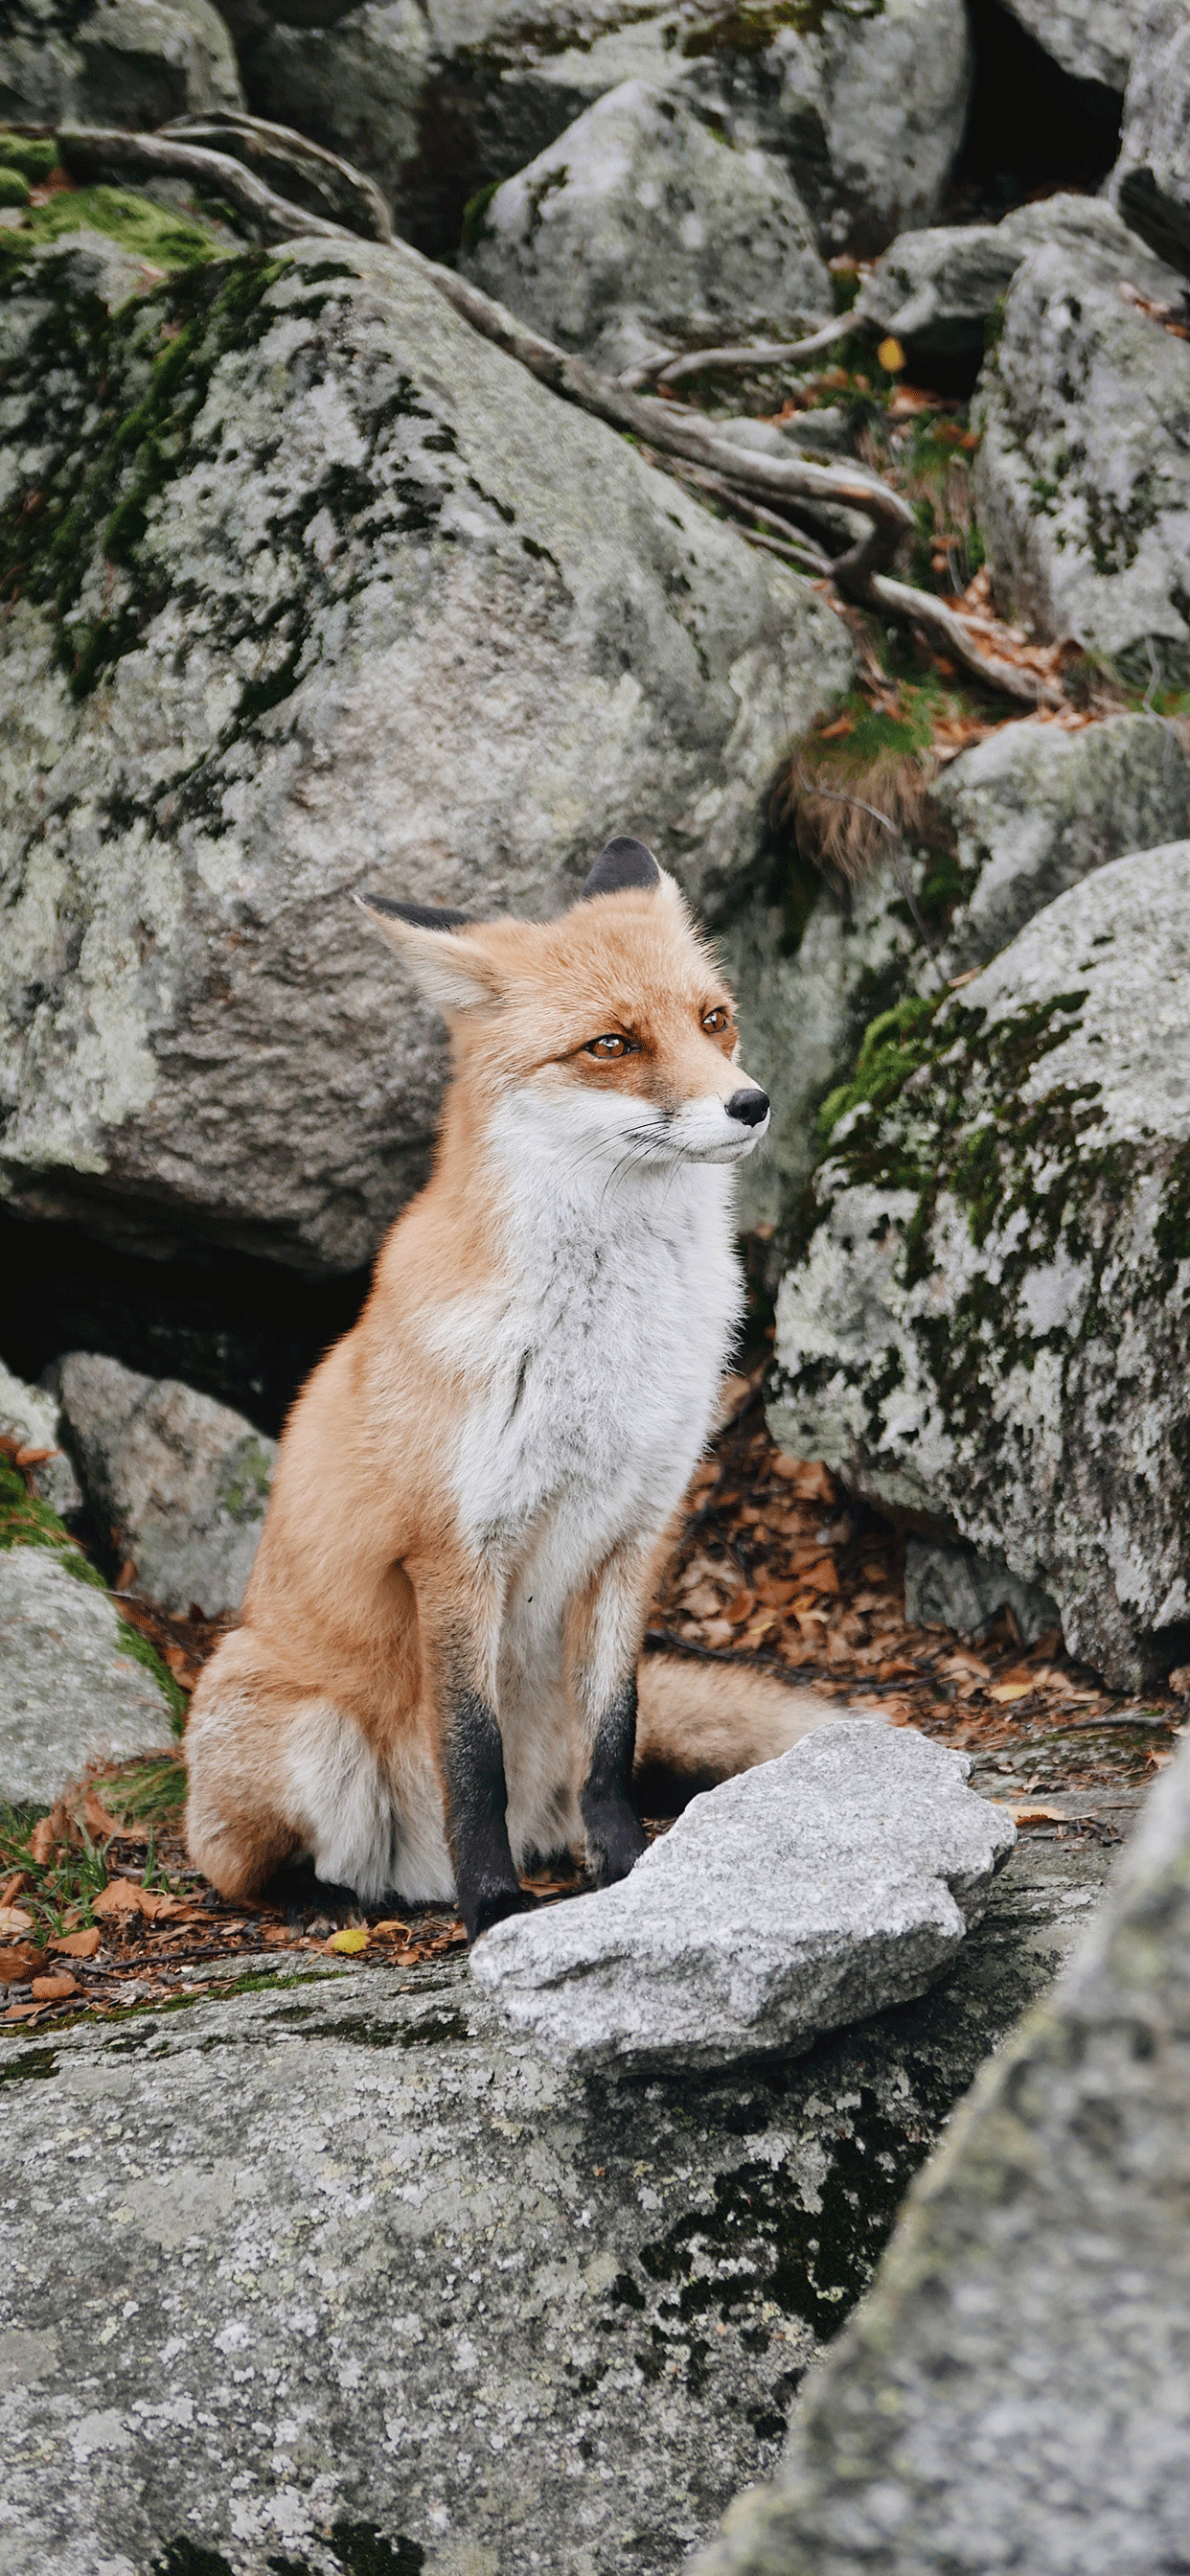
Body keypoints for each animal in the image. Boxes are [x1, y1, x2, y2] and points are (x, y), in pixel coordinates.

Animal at [184, 836, 833, 1942]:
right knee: (246, 1870)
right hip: (304, 1727)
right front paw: (491, 1909)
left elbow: (613, 1741)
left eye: (714, 1018)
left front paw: (626, 1871)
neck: (607, 1347)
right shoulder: (455, 1550)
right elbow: (470, 1757)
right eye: (612, 1043)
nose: (751, 1104)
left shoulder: (636, 1533)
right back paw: (337, 1901)